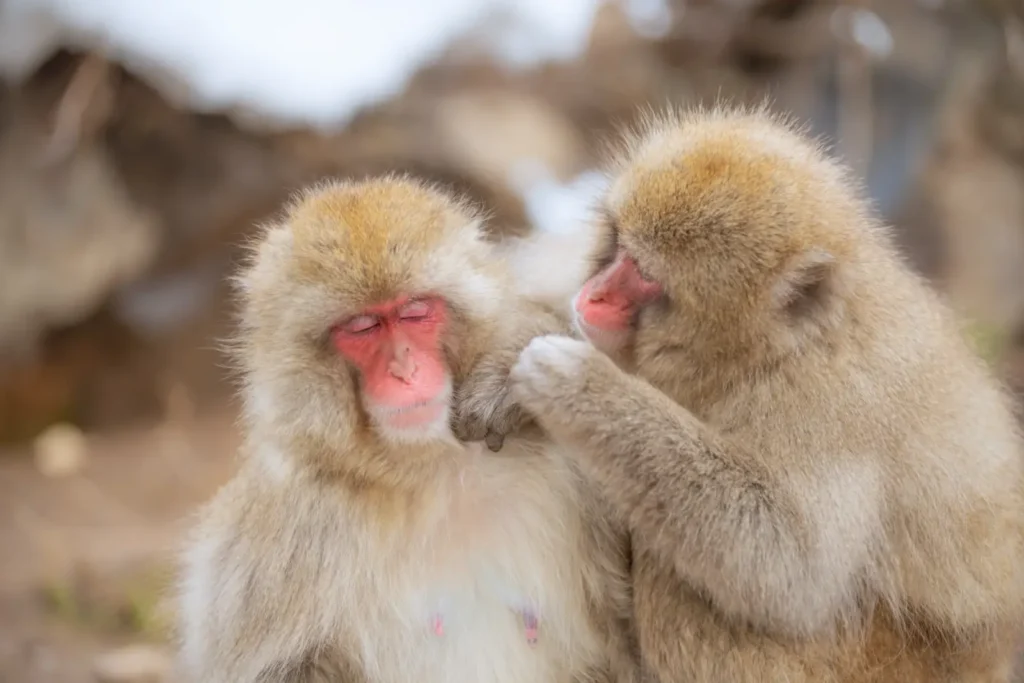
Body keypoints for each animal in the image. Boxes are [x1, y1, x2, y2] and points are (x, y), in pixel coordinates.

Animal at [174, 176, 639, 683]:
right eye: (362, 326)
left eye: (415, 312)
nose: (404, 369)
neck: (437, 467)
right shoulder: (292, 519)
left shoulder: (574, 474)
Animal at [496, 106, 1024, 682]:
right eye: (617, 244)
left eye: (646, 278)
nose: (594, 296)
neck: (762, 352)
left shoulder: (826, 404)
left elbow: (790, 572)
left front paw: (586, 390)